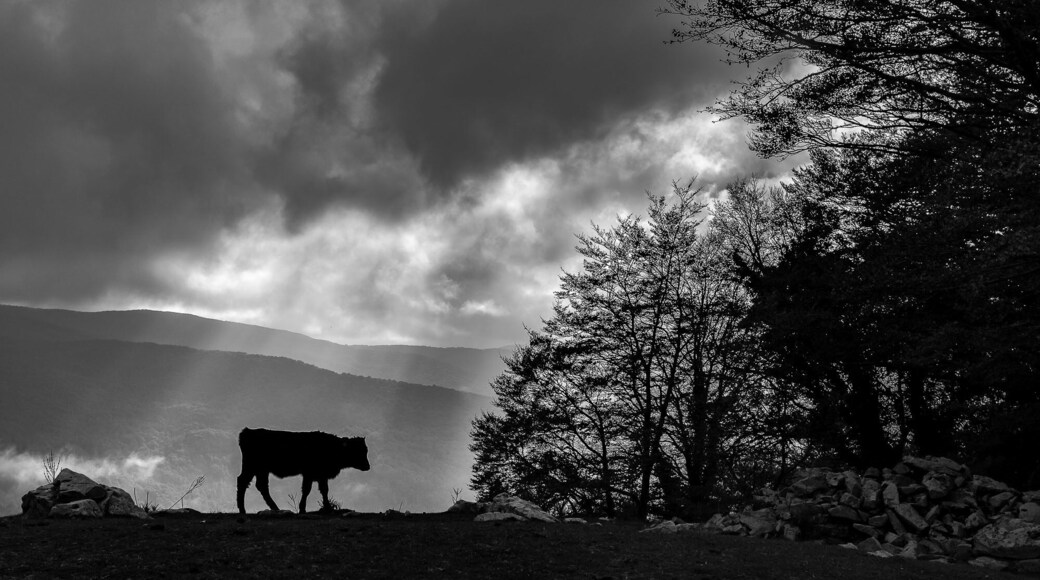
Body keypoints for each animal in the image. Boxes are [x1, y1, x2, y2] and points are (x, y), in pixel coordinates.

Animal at [236, 427, 370, 514]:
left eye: (365, 450)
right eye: (358, 450)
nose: (367, 466)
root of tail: (247, 431)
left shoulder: (321, 476)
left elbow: (324, 490)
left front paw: (327, 507)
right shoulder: (309, 474)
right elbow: (307, 490)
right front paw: (303, 509)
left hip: (261, 470)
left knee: (261, 486)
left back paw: (275, 508)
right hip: (252, 467)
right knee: (243, 482)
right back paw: (243, 510)